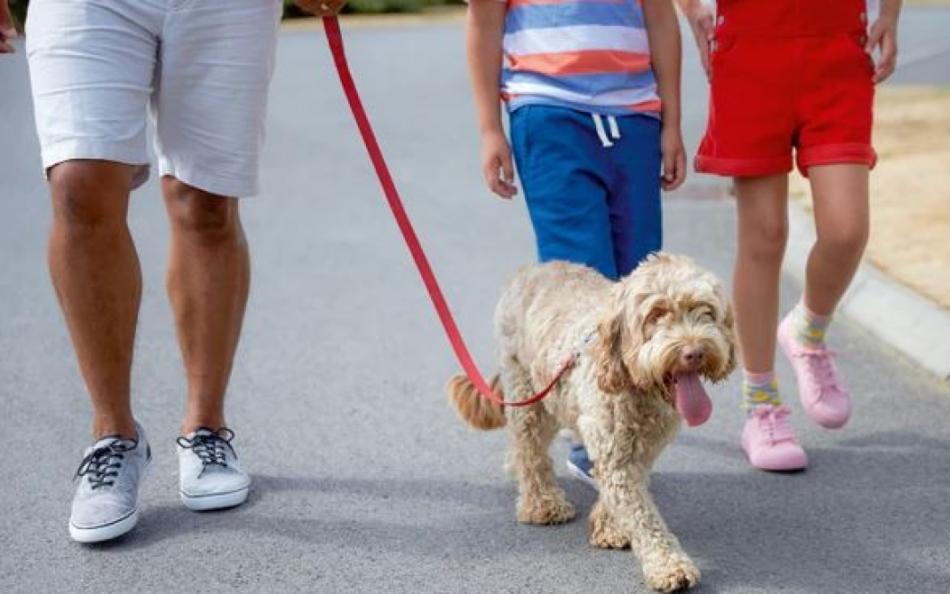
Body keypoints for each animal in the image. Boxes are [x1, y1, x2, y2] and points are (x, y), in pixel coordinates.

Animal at [450, 252, 740, 588]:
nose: (694, 352)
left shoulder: (639, 452)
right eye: (656, 314)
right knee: (531, 449)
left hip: (552, 393)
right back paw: (541, 503)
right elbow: (644, 518)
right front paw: (669, 566)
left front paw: (610, 528)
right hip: (526, 388)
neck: (635, 385)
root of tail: (531, 270)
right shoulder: (617, 455)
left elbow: (622, 494)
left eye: (705, 311)